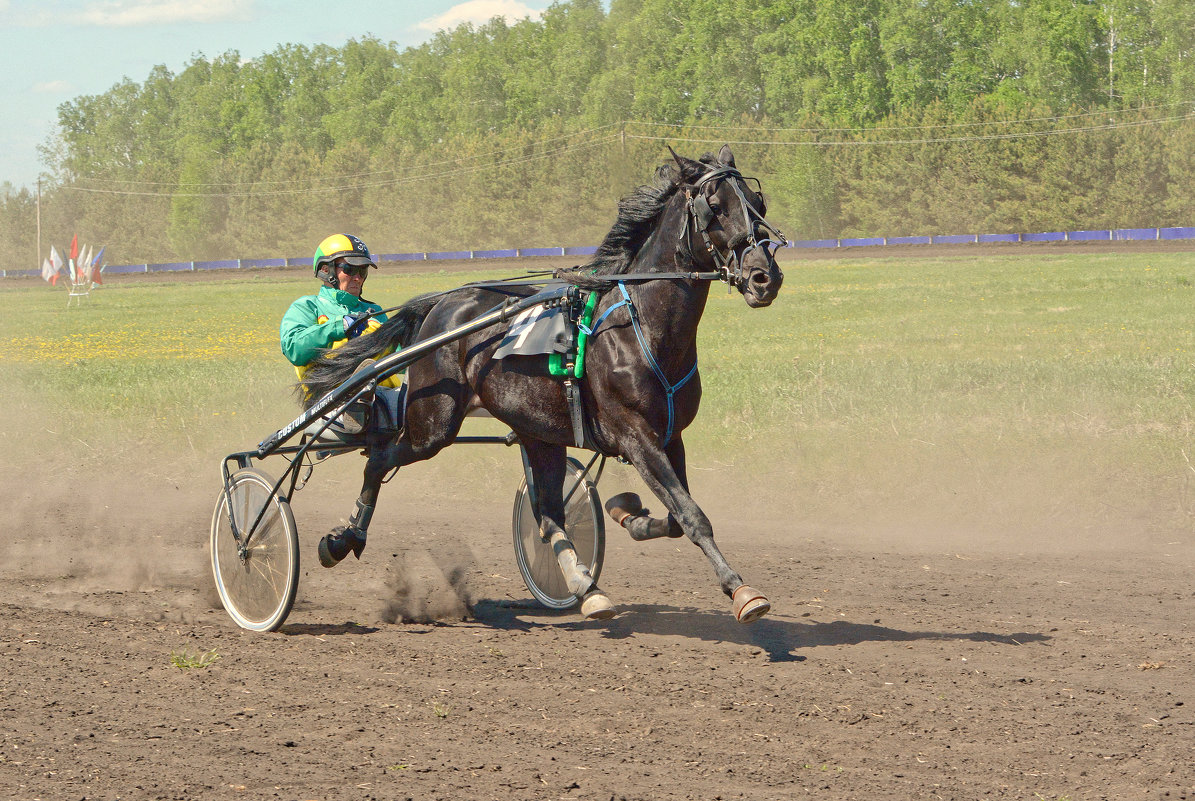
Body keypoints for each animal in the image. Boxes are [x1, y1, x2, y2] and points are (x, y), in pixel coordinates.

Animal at [298, 142, 783, 621]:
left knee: (548, 515)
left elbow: (677, 519)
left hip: (537, 430)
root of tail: (441, 304)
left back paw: (587, 588)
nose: (765, 277)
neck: (640, 327)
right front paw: (742, 591)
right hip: (432, 424)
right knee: (379, 460)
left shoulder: (670, 436)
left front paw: (627, 513)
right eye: (715, 208)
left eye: (758, 204)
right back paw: (342, 540)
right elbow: (691, 514)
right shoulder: (636, 436)